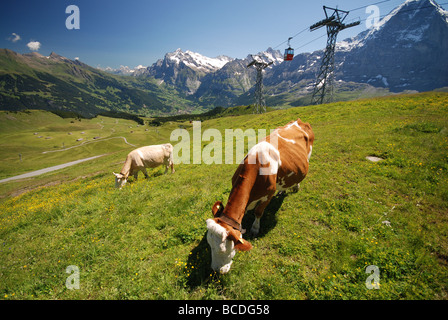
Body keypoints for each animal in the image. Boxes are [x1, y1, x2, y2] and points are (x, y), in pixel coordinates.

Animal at [206, 117, 314, 272]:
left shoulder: (267, 196)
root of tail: (298, 121)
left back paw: (296, 187)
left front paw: (255, 229)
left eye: (223, 250)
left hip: (308, 157)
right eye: (209, 245)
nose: (216, 270)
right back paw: (282, 190)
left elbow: (258, 212)